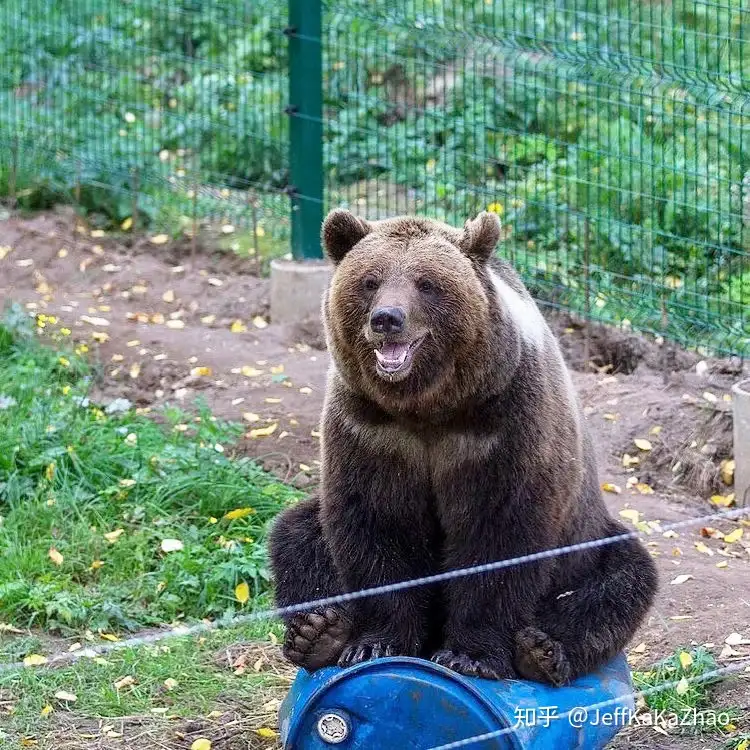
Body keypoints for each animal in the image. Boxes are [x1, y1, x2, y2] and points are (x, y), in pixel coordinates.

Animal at [270, 209, 656, 684]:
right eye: (370, 280)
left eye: (426, 283)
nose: (387, 318)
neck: (428, 407)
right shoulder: (372, 431)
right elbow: (377, 525)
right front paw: (374, 642)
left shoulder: (501, 429)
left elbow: (499, 536)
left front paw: (469, 655)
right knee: (297, 536)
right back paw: (319, 631)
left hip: (586, 542)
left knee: (621, 580)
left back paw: (543, 651)